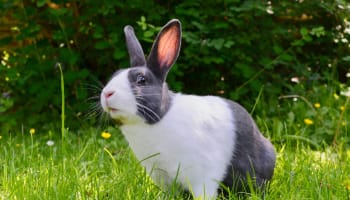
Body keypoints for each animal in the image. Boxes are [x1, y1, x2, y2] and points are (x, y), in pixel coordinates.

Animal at [100, 18, 276, 198]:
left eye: (141, 80)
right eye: (115, 75)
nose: (107, 93)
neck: (159, 119)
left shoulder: (202, 175)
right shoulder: (162, 175)